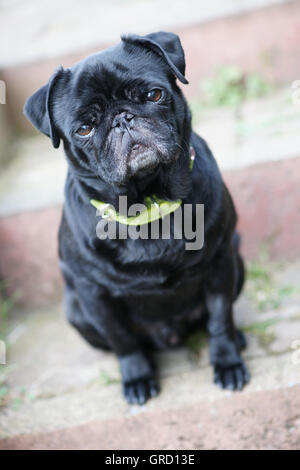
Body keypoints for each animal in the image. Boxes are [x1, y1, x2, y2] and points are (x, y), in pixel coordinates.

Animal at [24, 31, 248, 404]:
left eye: (154, 95)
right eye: (84, 129)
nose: (122, 119)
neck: (148, 204)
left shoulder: (220, 262)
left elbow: (220, 318)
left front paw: (227, 361)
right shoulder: (94, 294)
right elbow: (122, 340)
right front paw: (136, 377)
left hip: (237, 261)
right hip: (76, 309)